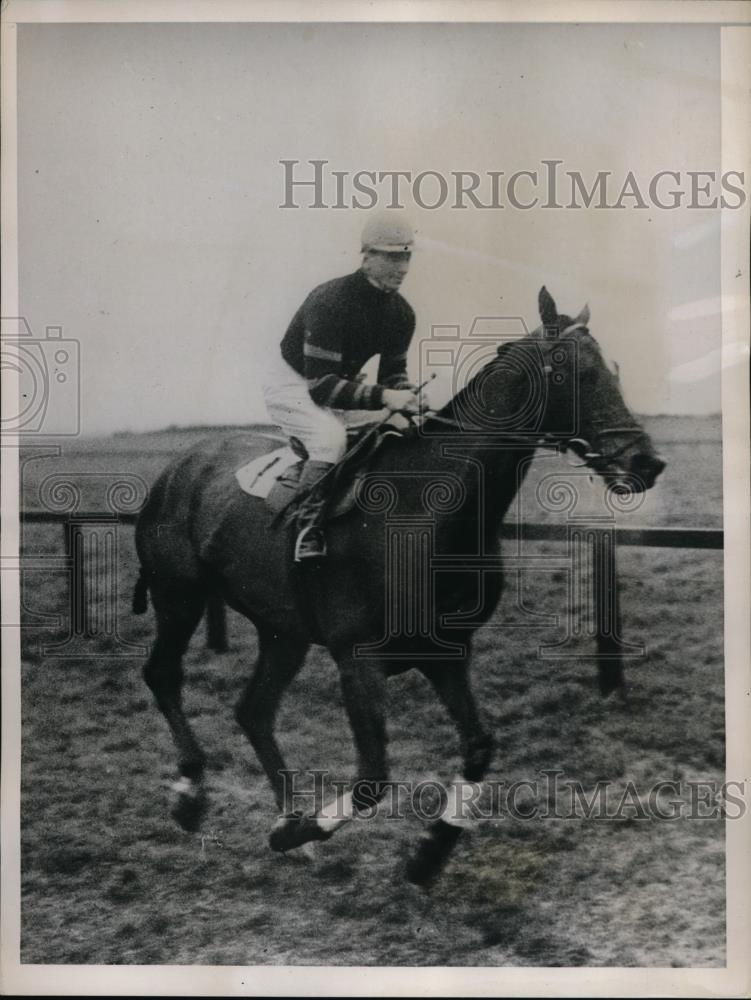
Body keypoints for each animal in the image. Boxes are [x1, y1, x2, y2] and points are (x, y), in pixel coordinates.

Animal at [134, 288, 664, 884]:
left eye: (612, 370)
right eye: (574, 373)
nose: (646, 461)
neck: (429, 513)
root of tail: (180, 466)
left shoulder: (446, 651)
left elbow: (480, 746)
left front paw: (430, 851)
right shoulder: (358, 659)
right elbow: (372, 779)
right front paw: (307, 830)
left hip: (281, 630)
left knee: (254, 710)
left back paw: (287, 816)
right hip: (178, 596)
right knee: (164, 674)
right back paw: (192, 792)